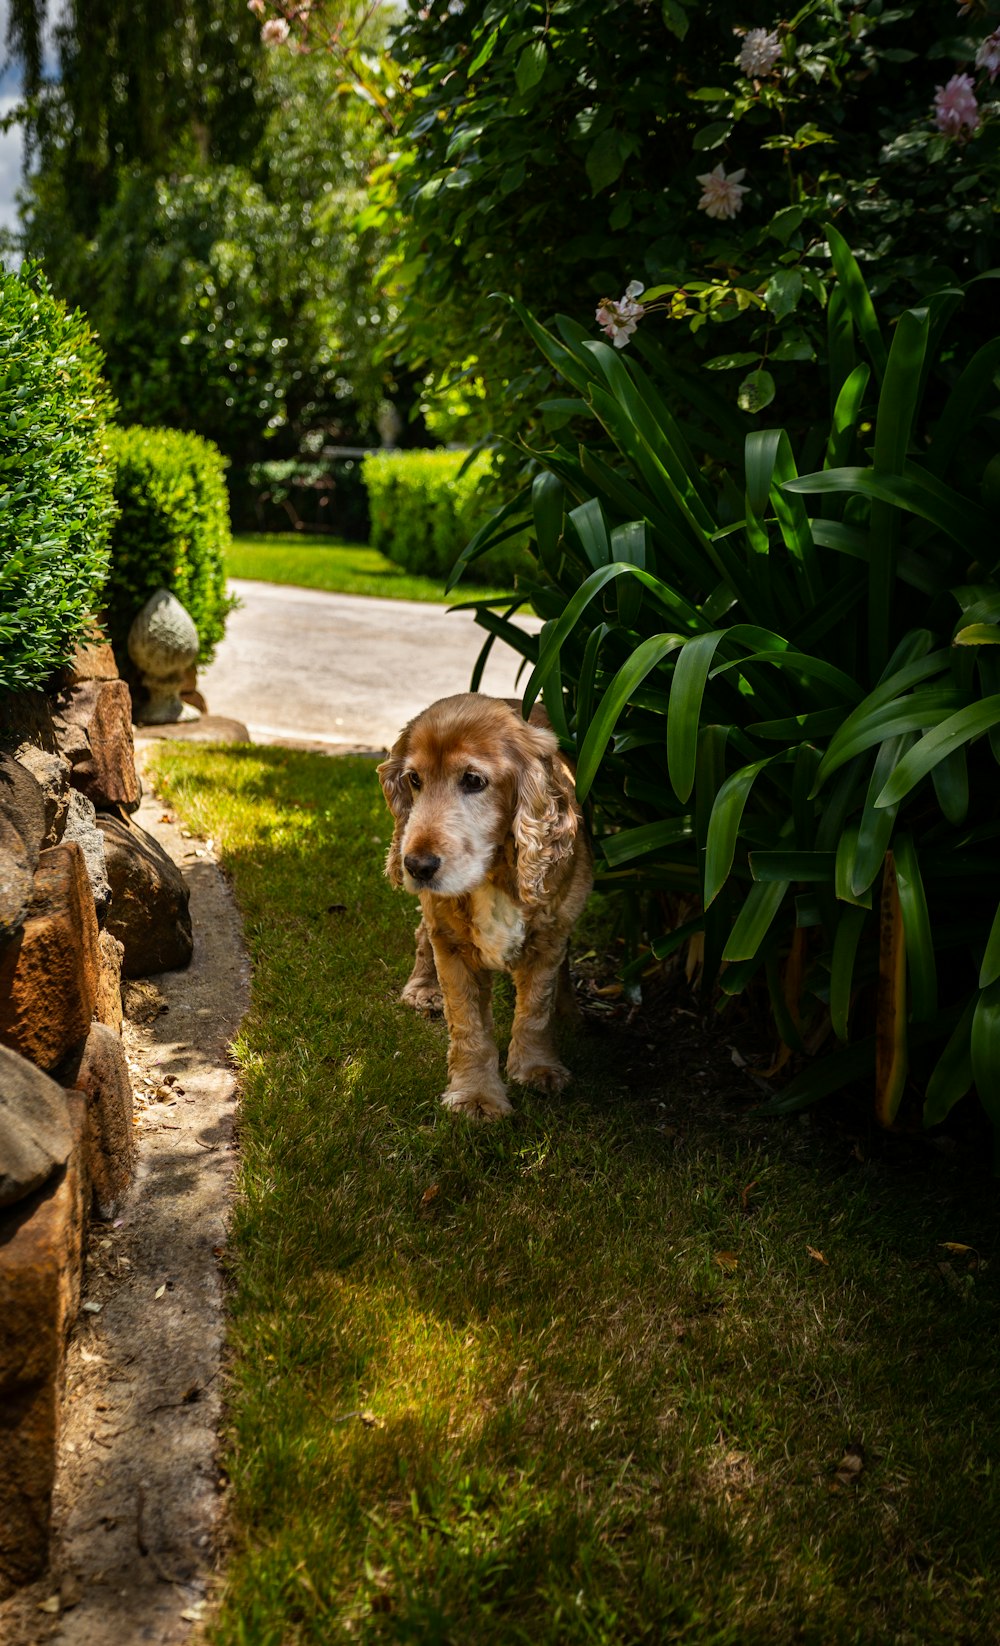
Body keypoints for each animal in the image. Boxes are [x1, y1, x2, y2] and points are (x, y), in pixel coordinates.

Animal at [378, 694, 588, 1119]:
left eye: (474, 781)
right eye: (414, 780)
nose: (416, 866)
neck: (494, 872)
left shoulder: (550, 935)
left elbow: (536, 1010)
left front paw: (538, 1068)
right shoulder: (453, 945)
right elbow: (468, 1026)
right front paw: (475, 1096)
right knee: (422, 934)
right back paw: (423, 988)